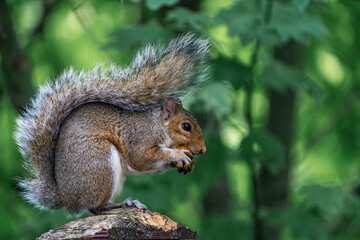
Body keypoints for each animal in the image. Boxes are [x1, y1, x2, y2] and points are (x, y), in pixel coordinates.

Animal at [15, 33, 210, 214]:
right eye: (186, 126)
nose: (203, 150)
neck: (158, 126)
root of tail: (66, 198)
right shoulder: (139, 137)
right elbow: (142, 159)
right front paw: (178, 154)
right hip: (100, 162)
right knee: (95, 207)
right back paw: (125, 203)